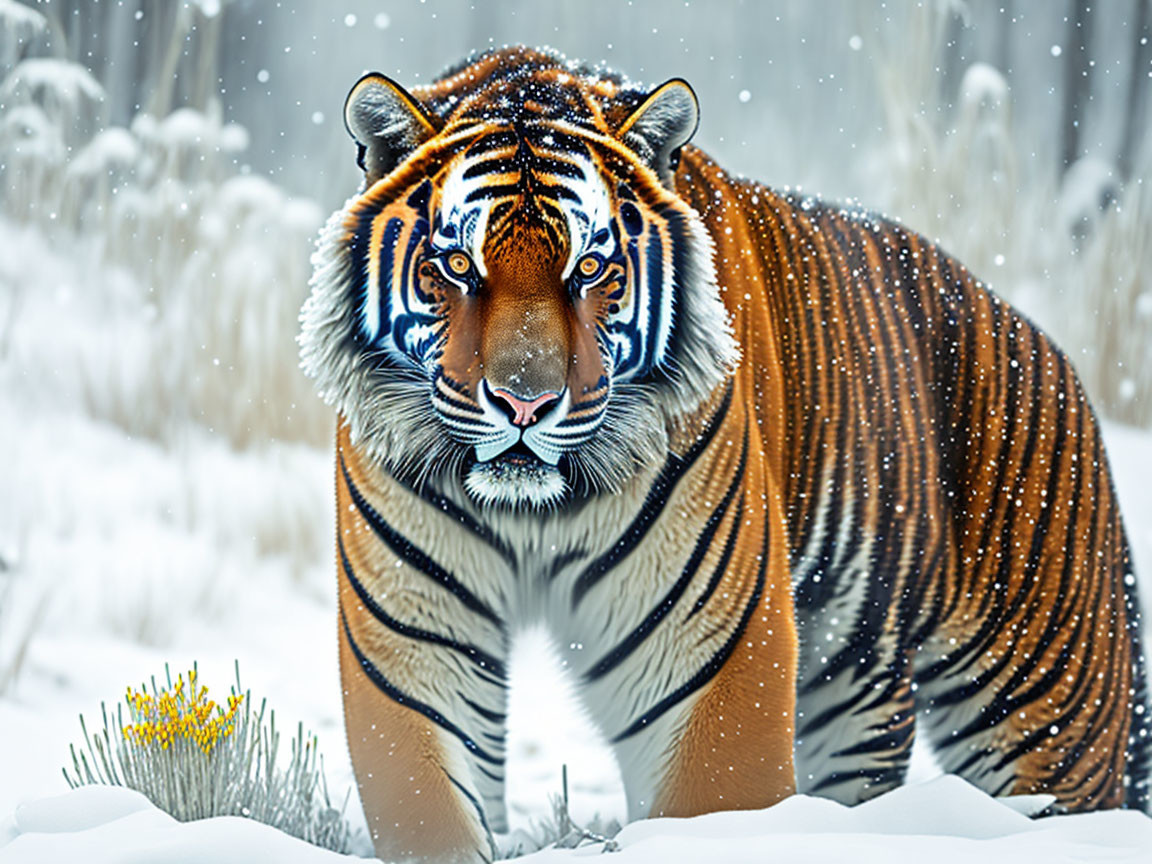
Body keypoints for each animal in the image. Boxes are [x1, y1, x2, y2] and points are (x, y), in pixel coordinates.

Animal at [301, 45, 1147, 864]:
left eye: (590, 270)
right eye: (458, 266)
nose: (524, 403)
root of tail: (1052, 352)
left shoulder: (706, 653)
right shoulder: (417, 649)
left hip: (1045, 709)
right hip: (853, 679)